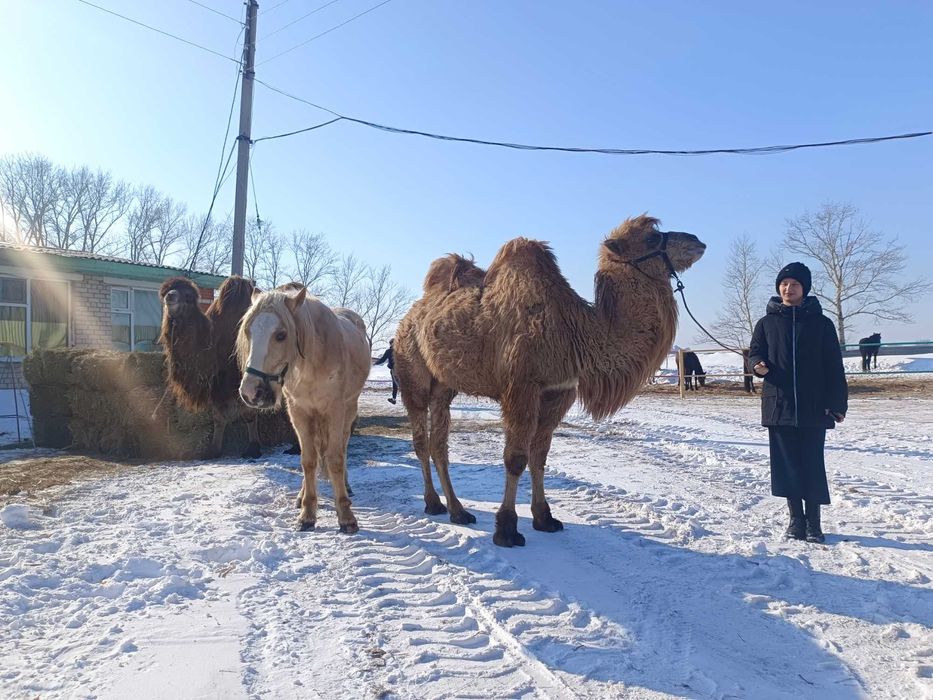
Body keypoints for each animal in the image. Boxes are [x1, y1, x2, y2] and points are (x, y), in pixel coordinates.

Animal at [236, 286, 371, 533]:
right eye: (249, 332)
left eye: (281, 335)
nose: (251, 392)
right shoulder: (299, 412)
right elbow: (308, 460)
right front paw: (307, 513)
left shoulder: (335, 411)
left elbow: (335, 458)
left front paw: (346, 515)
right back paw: (301, 495)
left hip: (349, 410)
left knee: (343, 447)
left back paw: (346, 485)